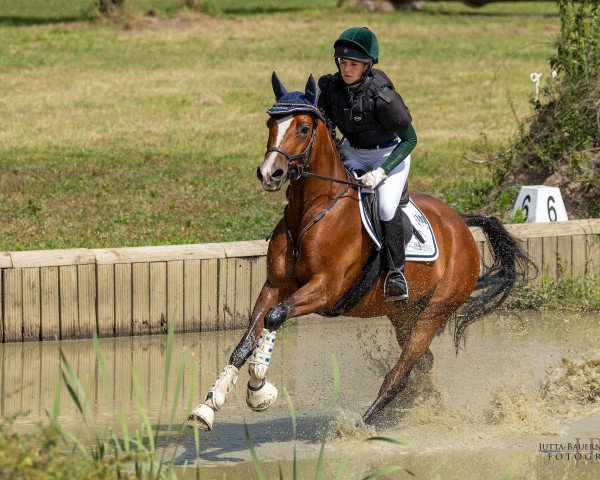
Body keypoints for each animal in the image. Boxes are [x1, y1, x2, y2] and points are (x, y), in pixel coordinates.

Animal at [190, 74, 532, 432]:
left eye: (303, 128)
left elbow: (274, 316)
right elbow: (246, 339)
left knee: (401, 372)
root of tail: (461, 225)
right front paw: (209, 404)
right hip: (403, 314)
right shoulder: (275, 285)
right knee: (422, 362)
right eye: (271, 124)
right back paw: (426, 406)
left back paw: (360, 426)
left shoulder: (326, 289)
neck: (311, 211)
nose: (270, 173)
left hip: (435, 312)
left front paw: (259, 388)